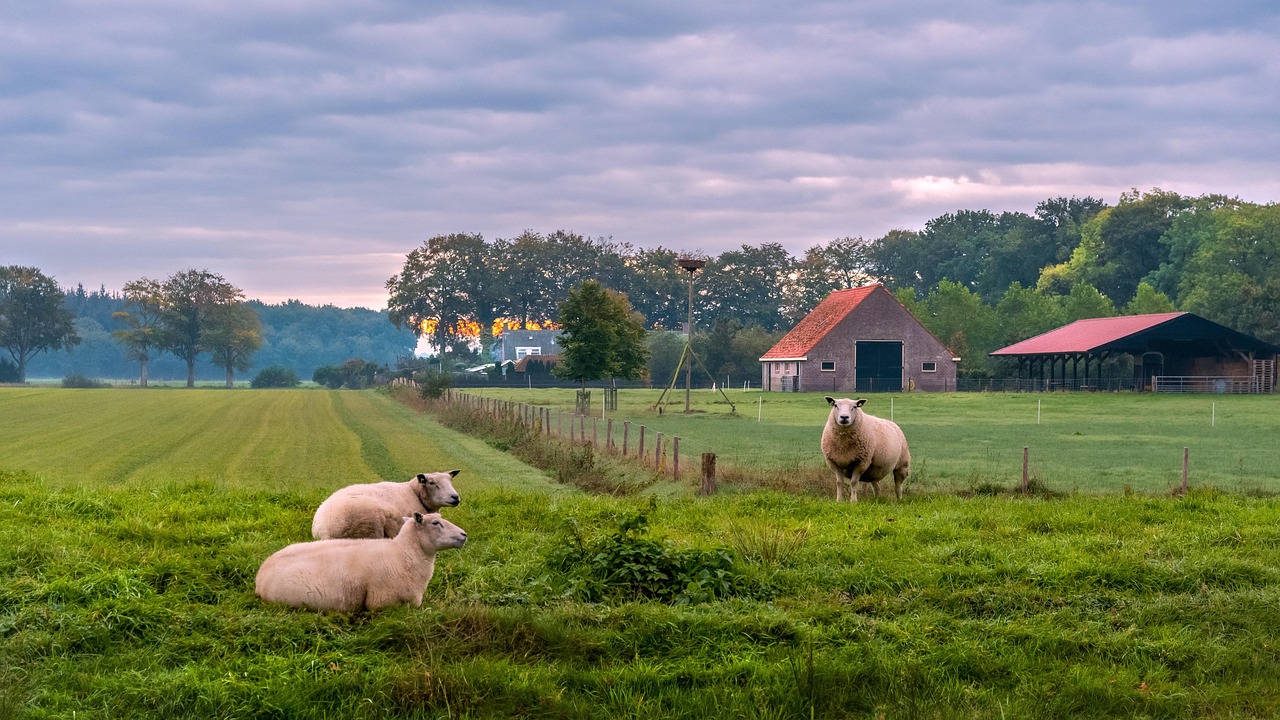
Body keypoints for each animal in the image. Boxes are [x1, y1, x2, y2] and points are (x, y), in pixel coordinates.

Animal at [309, 471, 460, 538]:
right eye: (432, 483)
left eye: (450, 481)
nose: (455, 497)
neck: (414, 492)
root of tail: (323, 532)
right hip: (372, 523)